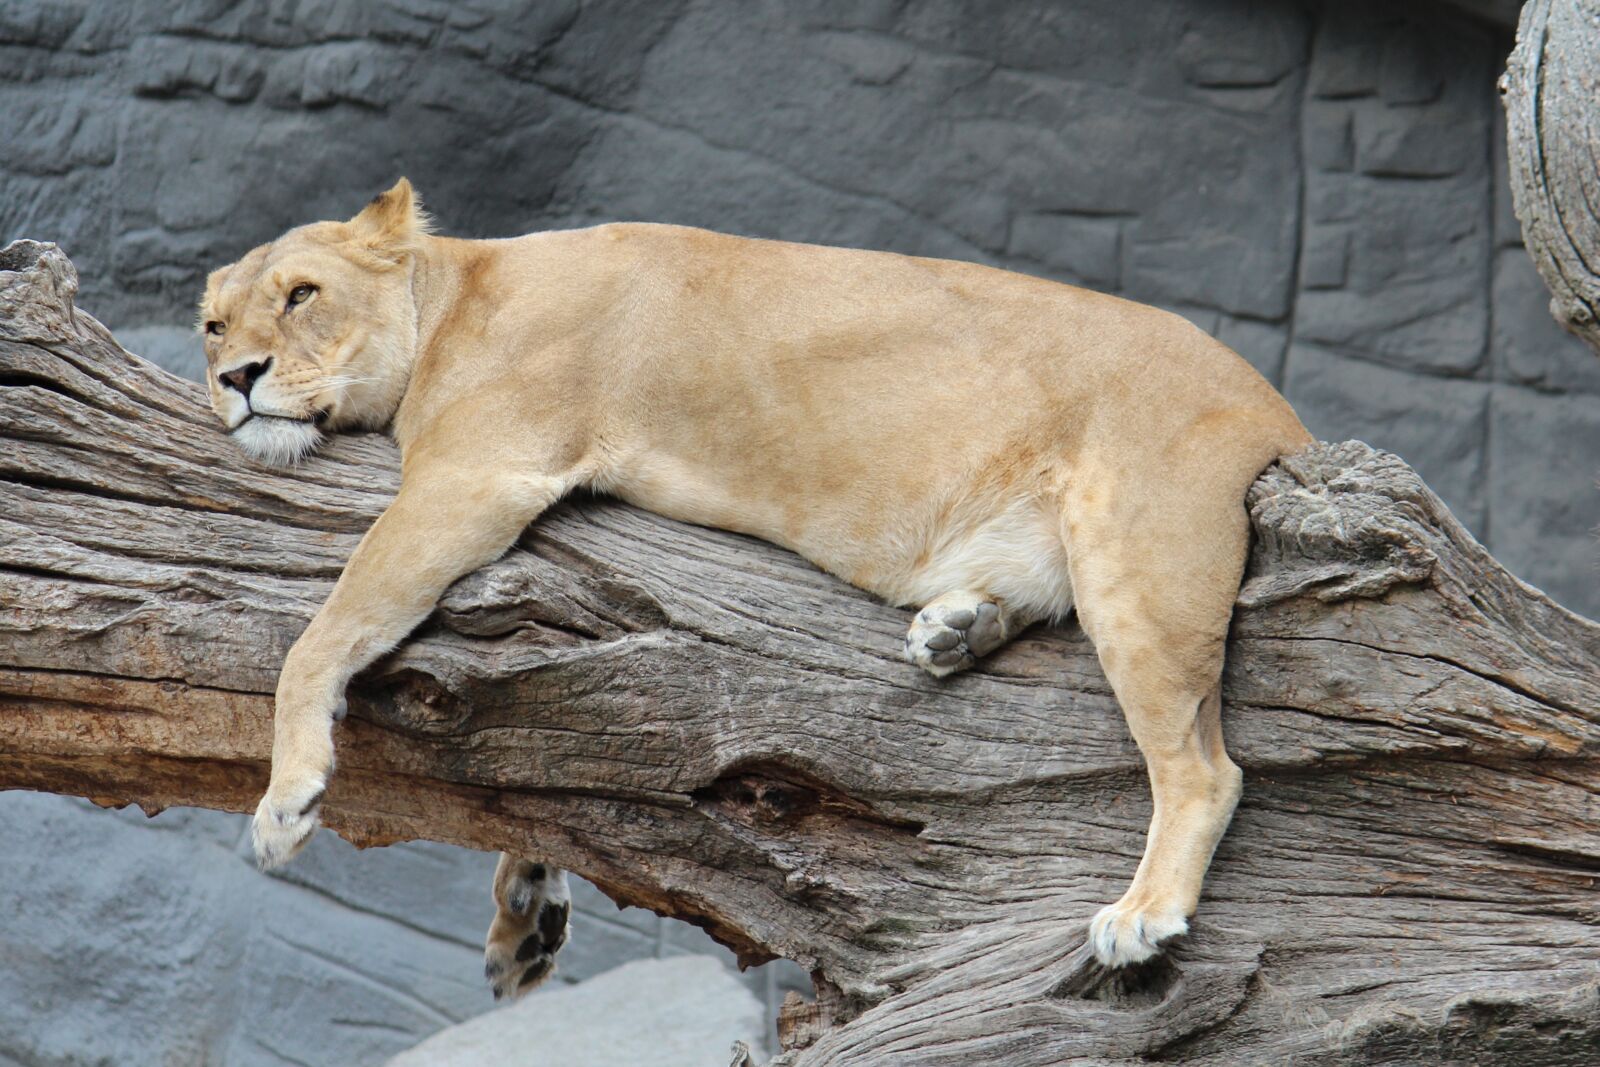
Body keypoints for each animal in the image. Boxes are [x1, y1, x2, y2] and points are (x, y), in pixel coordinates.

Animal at [198, 179, 1312, 998]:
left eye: (301, 295)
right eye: (213, 323)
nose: (235, 378)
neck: (455, 292)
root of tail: (1279, 405)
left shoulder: (477, 477)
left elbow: (324, 630)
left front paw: (285, 800)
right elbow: (533, 772)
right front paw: (524, 917)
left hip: (1141, 563)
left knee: (1204, 768)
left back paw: (1143, 917)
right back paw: (956, 627)